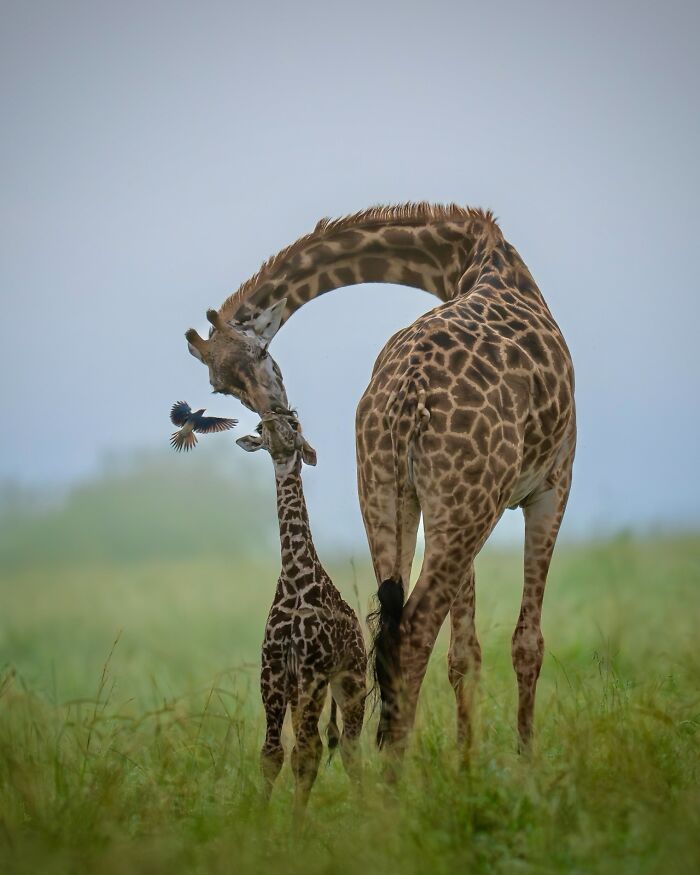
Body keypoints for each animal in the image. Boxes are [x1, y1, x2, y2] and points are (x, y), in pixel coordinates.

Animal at [185, 203, 576, 760]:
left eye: (252, 362)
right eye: (222, 385)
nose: (279, 418)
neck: (465, 257)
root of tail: (408, 396)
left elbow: (466, 652)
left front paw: (468, 764)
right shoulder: (553, 483)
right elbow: (527, 643)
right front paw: (523, 766)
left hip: (388, 496)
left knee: (395, 635)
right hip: (464, 505)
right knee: (413, 633)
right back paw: (399, 774)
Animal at [236, 412, 367, 815]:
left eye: (295, 424)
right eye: (260, 431)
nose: (271, 421)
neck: (295, 579)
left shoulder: (312, 670)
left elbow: (307, 755)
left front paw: (297, 823)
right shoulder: (275, 670)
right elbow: (272, 753)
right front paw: (261, 818)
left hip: (351, 681)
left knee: (350, 747)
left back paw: (366, 810)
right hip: (302, 690)